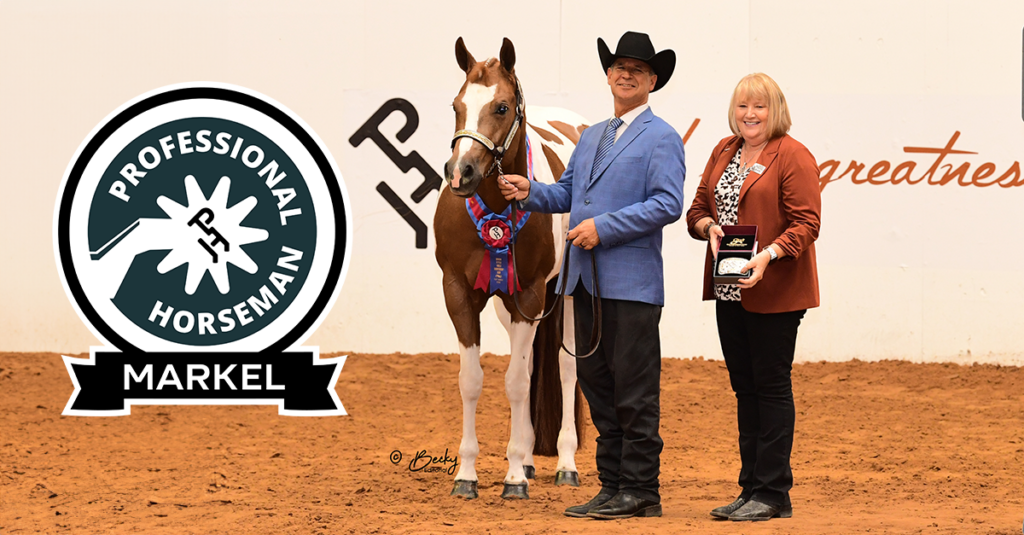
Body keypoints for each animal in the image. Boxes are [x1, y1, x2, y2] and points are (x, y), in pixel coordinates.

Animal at [434, 35, 593, 498]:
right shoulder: (459, 292)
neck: (494, 203)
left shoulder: (532, 291)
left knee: (564, 369)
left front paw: (512, 478)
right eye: (456, 105)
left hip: (566, 295)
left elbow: (518, 382)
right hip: (510, 305)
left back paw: (562, 464)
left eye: (502, 107)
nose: (461, 173)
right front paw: (467, 474)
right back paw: (527, 460)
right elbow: (472, 381)